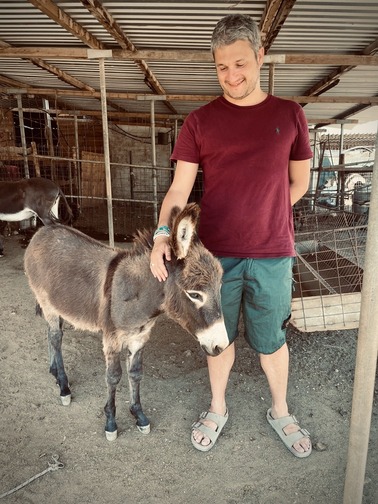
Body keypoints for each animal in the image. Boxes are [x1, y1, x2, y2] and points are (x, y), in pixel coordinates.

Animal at [25, 204, 229, 440]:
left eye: (219, 288)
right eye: (194, 295)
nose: (221, 346)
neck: (140, 297)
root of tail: (47, 227)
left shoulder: (139, 337)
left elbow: (136, 374)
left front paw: (138, 415)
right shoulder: (112, 339)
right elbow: (113, 377)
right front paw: (111, 422)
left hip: (56, 306)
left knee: (51, 334)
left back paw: (55, 373)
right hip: (46, 303)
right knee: (56, 338)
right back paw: (64, 387)